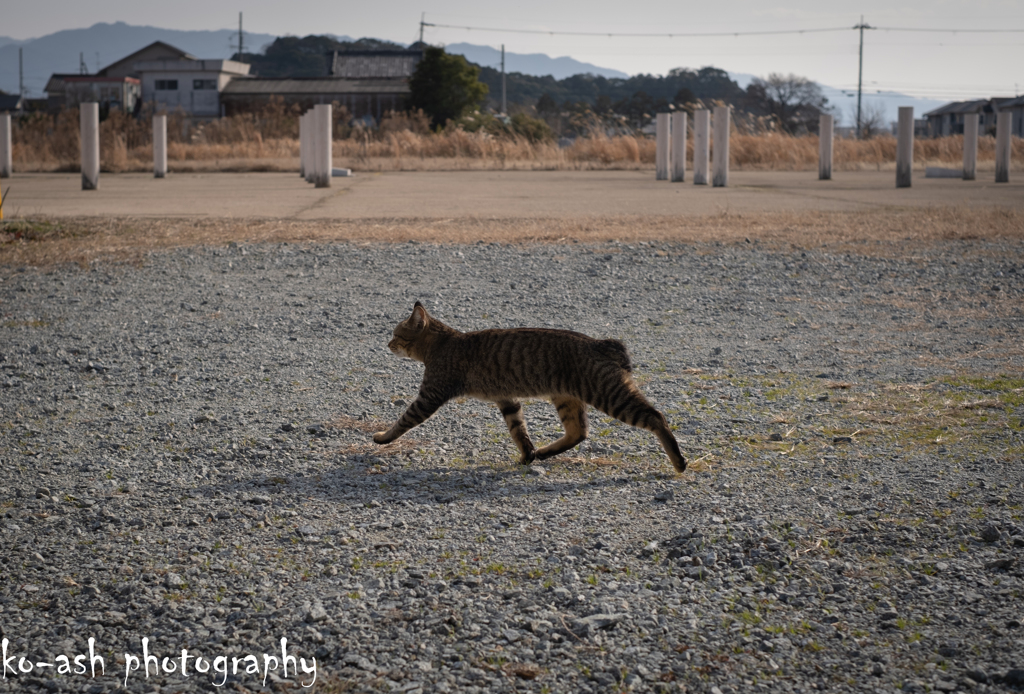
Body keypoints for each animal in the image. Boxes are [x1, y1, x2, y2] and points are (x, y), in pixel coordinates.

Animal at [370, 300, 688, 474]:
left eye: (396, 334)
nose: (387, 344)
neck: (442, 342)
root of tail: (601, 342)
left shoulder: (430, 395)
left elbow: (404, 420)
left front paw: (383, 437)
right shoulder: (507, 399)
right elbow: (519, 431)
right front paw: (527, 454)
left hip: (608, 394)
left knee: (656, 417)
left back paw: (679, 461)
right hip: (567, 398)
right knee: (578, 432)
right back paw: (543, 453)